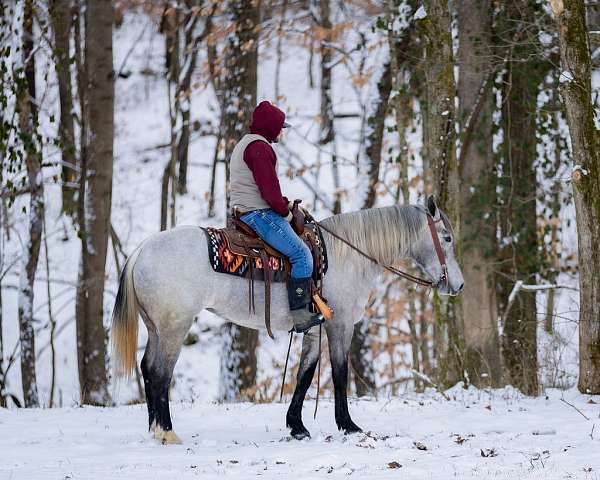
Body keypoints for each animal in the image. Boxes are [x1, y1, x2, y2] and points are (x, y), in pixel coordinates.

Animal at [111, 197, 464, 444]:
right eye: (446, 238)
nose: (458, 285)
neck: (348, 256)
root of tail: (143, 249)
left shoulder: (315, 327)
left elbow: (305, 374)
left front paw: (297, 426)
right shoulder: (340, 324)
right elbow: (339, 373)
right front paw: (348, 425)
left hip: (156, 327)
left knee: (147, 369)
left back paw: (154, 429)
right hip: (175, 327)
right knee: (161, 374)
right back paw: (167, 432)